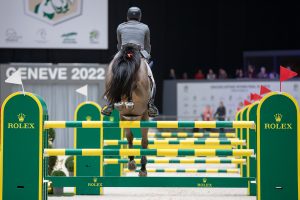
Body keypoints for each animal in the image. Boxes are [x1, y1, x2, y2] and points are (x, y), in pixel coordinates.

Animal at [105, 44, 152, 177]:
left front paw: (133, 163)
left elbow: (130, 137)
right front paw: (141, 168)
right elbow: (143, 141)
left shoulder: (124, 116)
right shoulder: (144, 116)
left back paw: (121, 102)